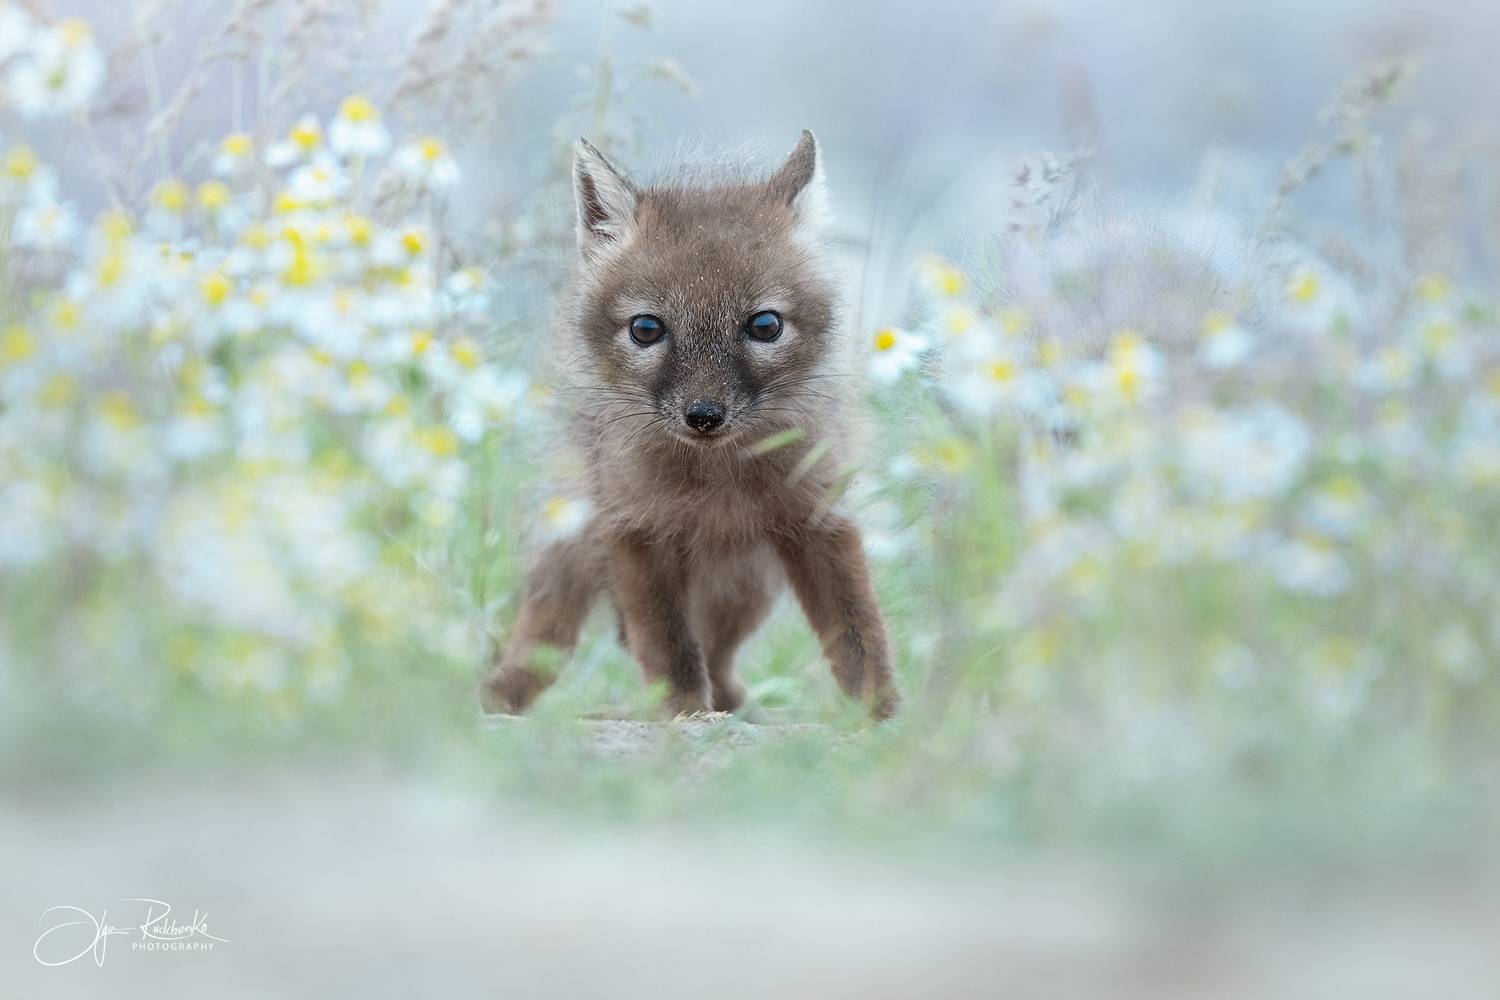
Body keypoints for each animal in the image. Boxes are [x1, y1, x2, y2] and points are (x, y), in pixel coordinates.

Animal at [480, 130, 901, 721]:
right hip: (577, 552)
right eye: (646, 329)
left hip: (745, 589)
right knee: (545, 637)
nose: (703, 415)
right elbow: (669, 646)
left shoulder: (819, 520)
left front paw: (887, 718)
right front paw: (682, 718)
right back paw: (498, 695)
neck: (716, 485)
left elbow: (859, 635)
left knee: (719, 660)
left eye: (764, 325)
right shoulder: (636, 531)